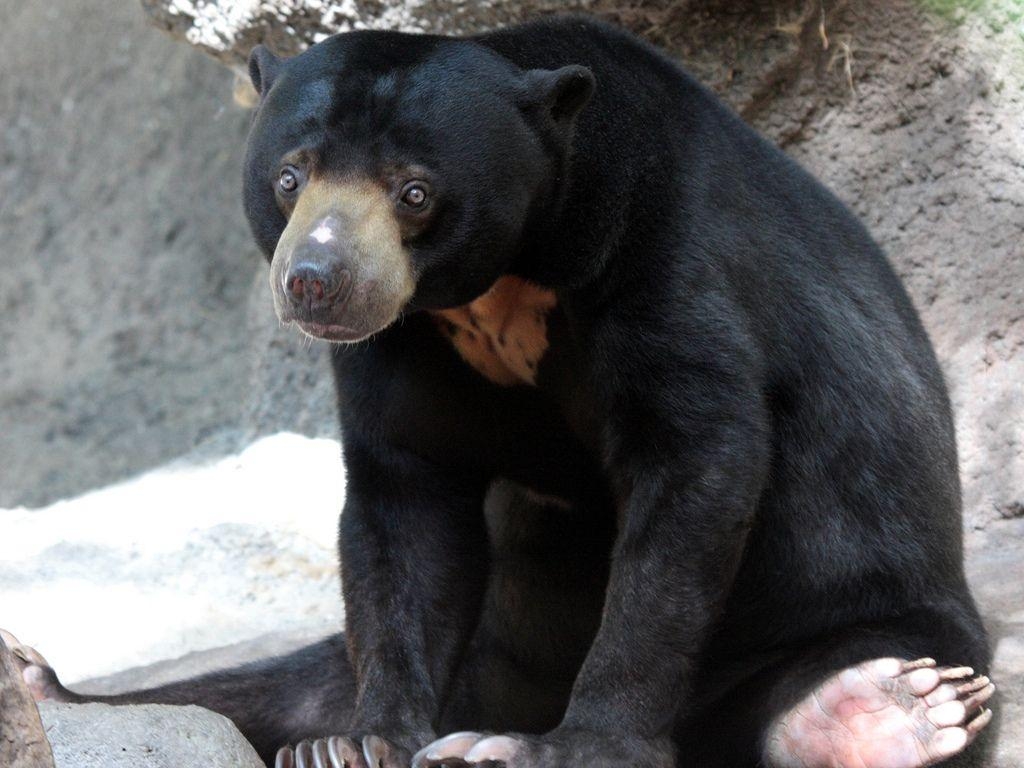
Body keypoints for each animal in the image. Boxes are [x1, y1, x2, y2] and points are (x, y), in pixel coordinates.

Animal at [2, 12, 991, 768]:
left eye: (414, 191)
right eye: (289, 176)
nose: (317, 282)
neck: (505, 279)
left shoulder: (661, 260)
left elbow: (693, 464)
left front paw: (571, 747)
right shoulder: (400, 342)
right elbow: (406, 502)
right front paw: (365, 743)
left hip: (867, 598)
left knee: (832, 670)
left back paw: (885, 710)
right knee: (274, 685)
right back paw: (53, 682)